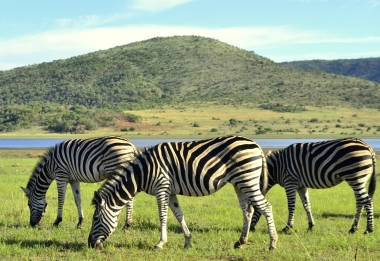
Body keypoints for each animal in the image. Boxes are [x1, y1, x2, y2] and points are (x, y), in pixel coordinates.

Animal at [89, 135, 280, 249]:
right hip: (240, 183)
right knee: (247, 210)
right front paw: (188, 241)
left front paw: (160, 243)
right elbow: (179, 215)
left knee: (267, 207)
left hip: (248, 180)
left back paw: (272, 243)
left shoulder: (161, 188)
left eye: (96, 218)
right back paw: (240, 242)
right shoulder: (171, 191)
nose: (90, 244)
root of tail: (256, 144)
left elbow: (163, 216)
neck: (142, 172)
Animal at [249, 137, 378, 233]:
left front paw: (288, 227)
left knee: (367, 201)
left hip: (355, 177)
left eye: (253, 207)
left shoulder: (290, 182)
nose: (250, 229)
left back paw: (369, 229)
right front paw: (311, 226)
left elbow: (291, 206)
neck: (277, 167)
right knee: (360, 201)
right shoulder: (301, 186)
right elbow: (307, 205)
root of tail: (368, 147)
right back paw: (353, 228)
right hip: (359, 180)